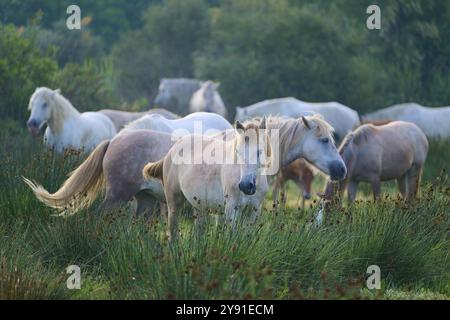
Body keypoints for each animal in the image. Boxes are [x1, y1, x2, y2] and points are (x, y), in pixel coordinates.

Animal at [142, 115, 346, 240]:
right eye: (325, 140)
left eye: (260, 152)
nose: (342, 169)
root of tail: (173, 149)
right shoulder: (231, 209)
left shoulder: (252, 210)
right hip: (174, 205)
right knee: (173, 235)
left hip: (198, 207)